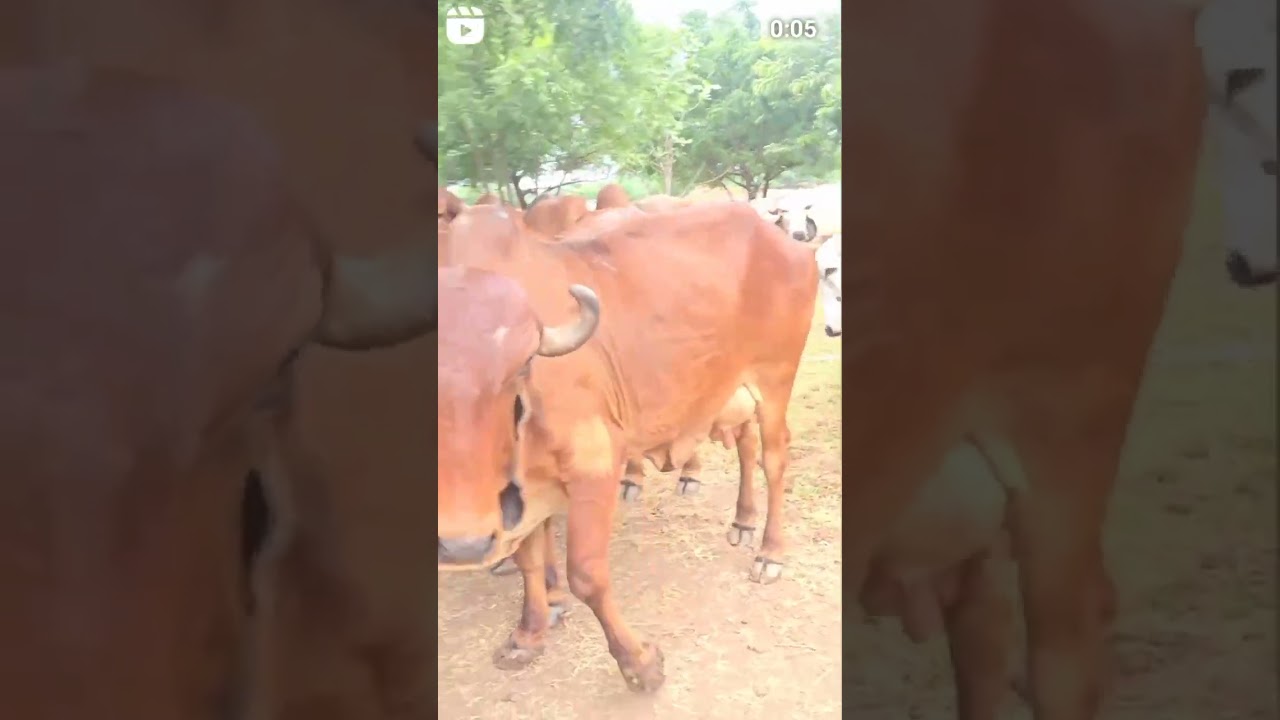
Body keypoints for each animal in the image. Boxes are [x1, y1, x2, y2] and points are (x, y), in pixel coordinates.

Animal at [438, 201, 818, 692]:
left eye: (520, 367)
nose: (459, 546)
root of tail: (784, 239)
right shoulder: (521, 493)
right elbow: (527, 560)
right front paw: (528, 634)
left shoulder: (596, 464)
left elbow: (586, 575)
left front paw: (639, 662)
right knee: (747, 448)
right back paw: (743, 521)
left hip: (774, 379)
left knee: (773, 457)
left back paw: (770, 552)